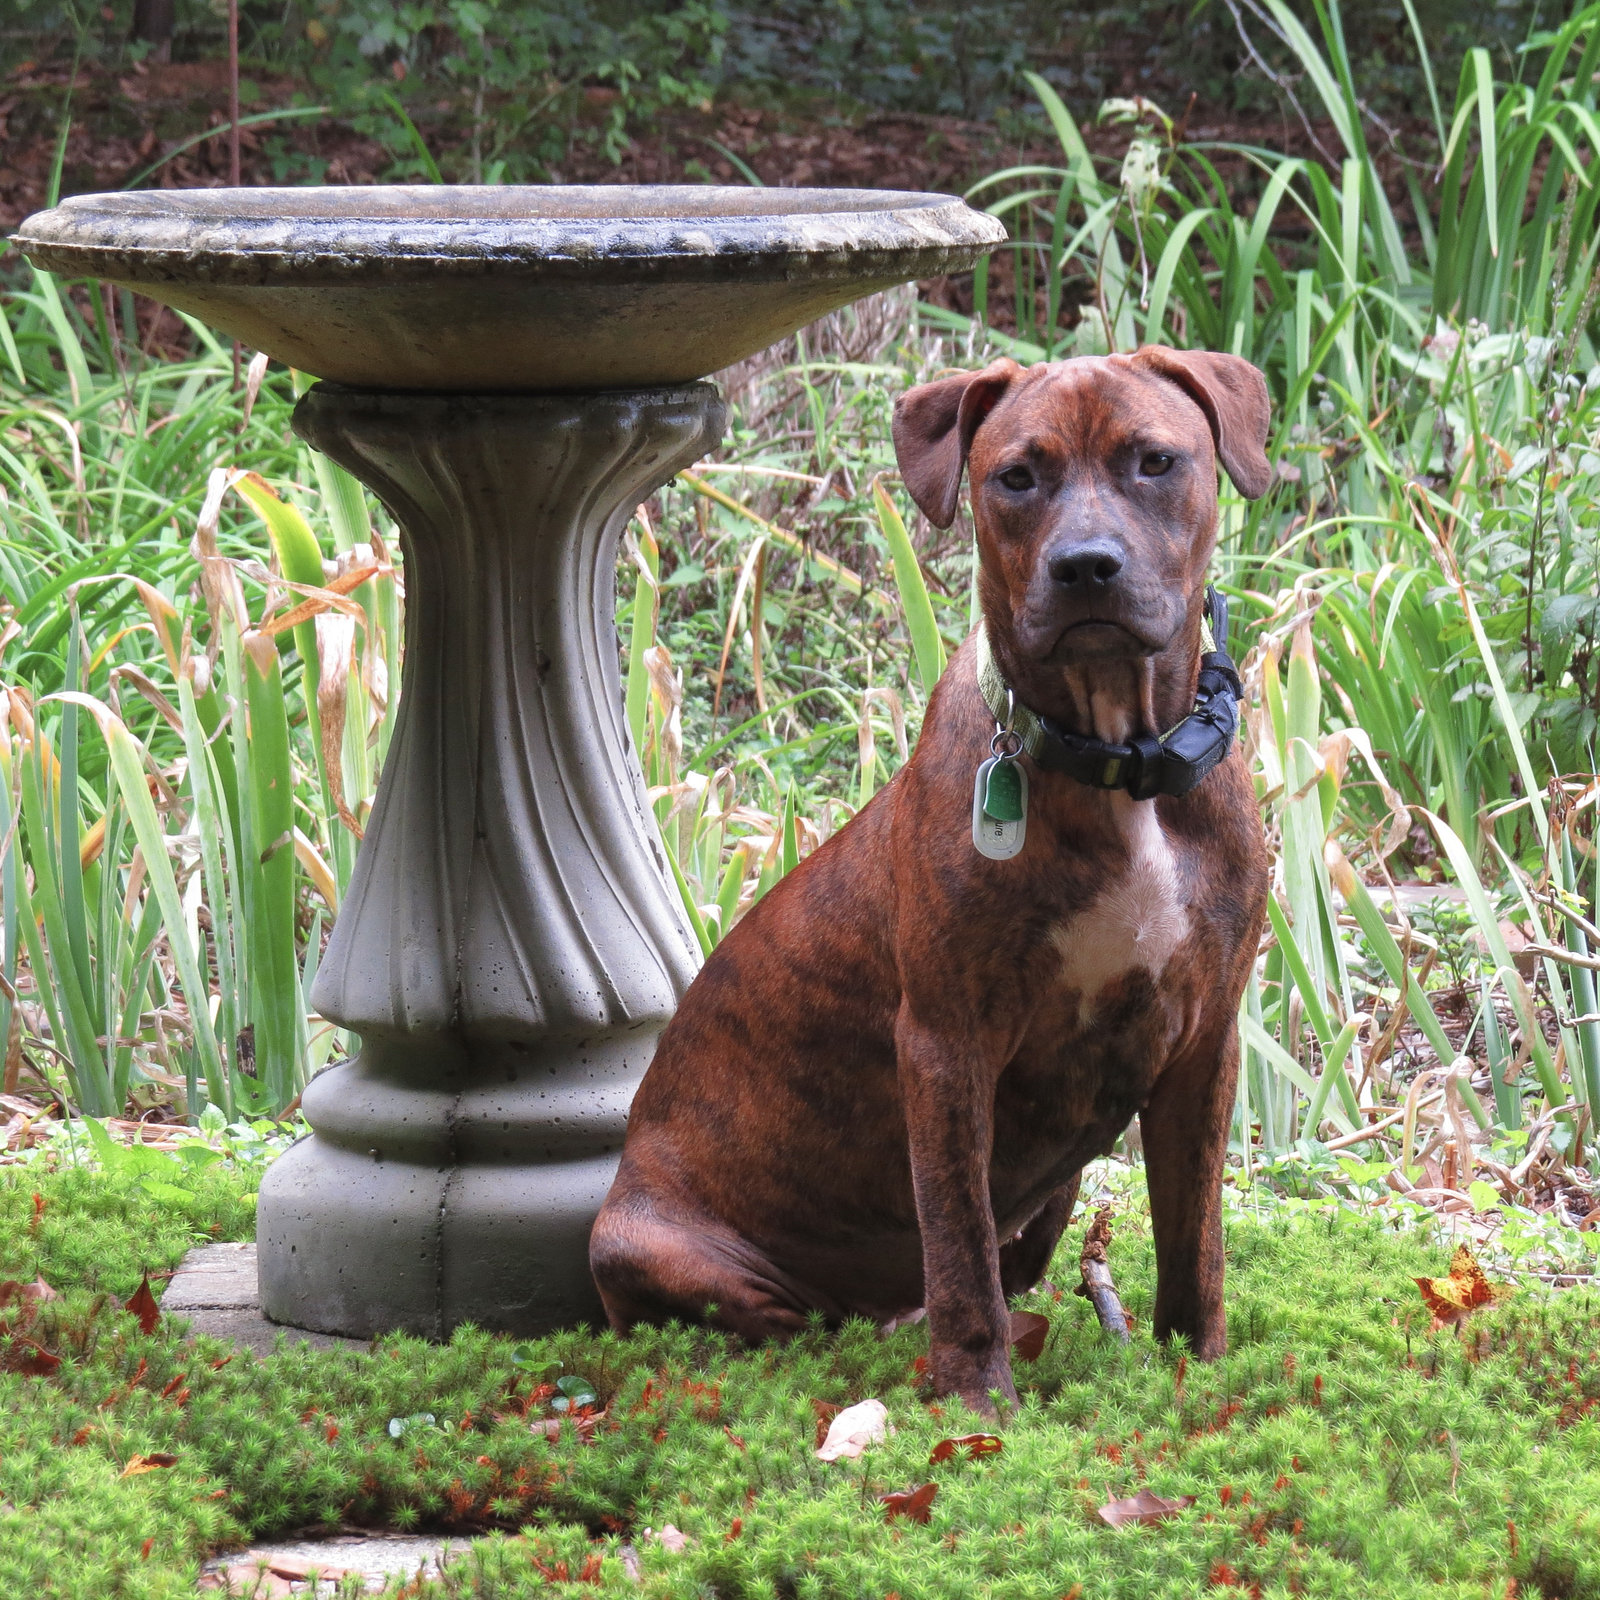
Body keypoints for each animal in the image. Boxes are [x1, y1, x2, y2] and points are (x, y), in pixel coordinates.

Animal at [592, 347, 1273, 1414]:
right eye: (1017, 477)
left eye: (1156, 461)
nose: (1086, 566)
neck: (1115, 762)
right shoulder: (949, 1045)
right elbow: (957, 1245)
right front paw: (975, 1402)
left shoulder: (1203, 1041)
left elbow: (1194, 1239)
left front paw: (1195, 1372)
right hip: (653, 1244)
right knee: (805, 1319)